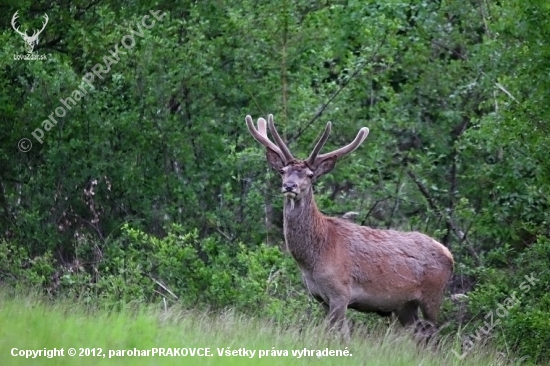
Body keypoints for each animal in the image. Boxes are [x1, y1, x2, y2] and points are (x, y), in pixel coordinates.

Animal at [246, 113, 452, 338]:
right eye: (283, 171)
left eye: (310, 175)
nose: (289, 186)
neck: (315, 257)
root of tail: (449, 254)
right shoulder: (320, 297)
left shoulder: (341, 292)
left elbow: (337, 334)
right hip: (405, 305)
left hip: (433, 296)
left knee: (434, 335)